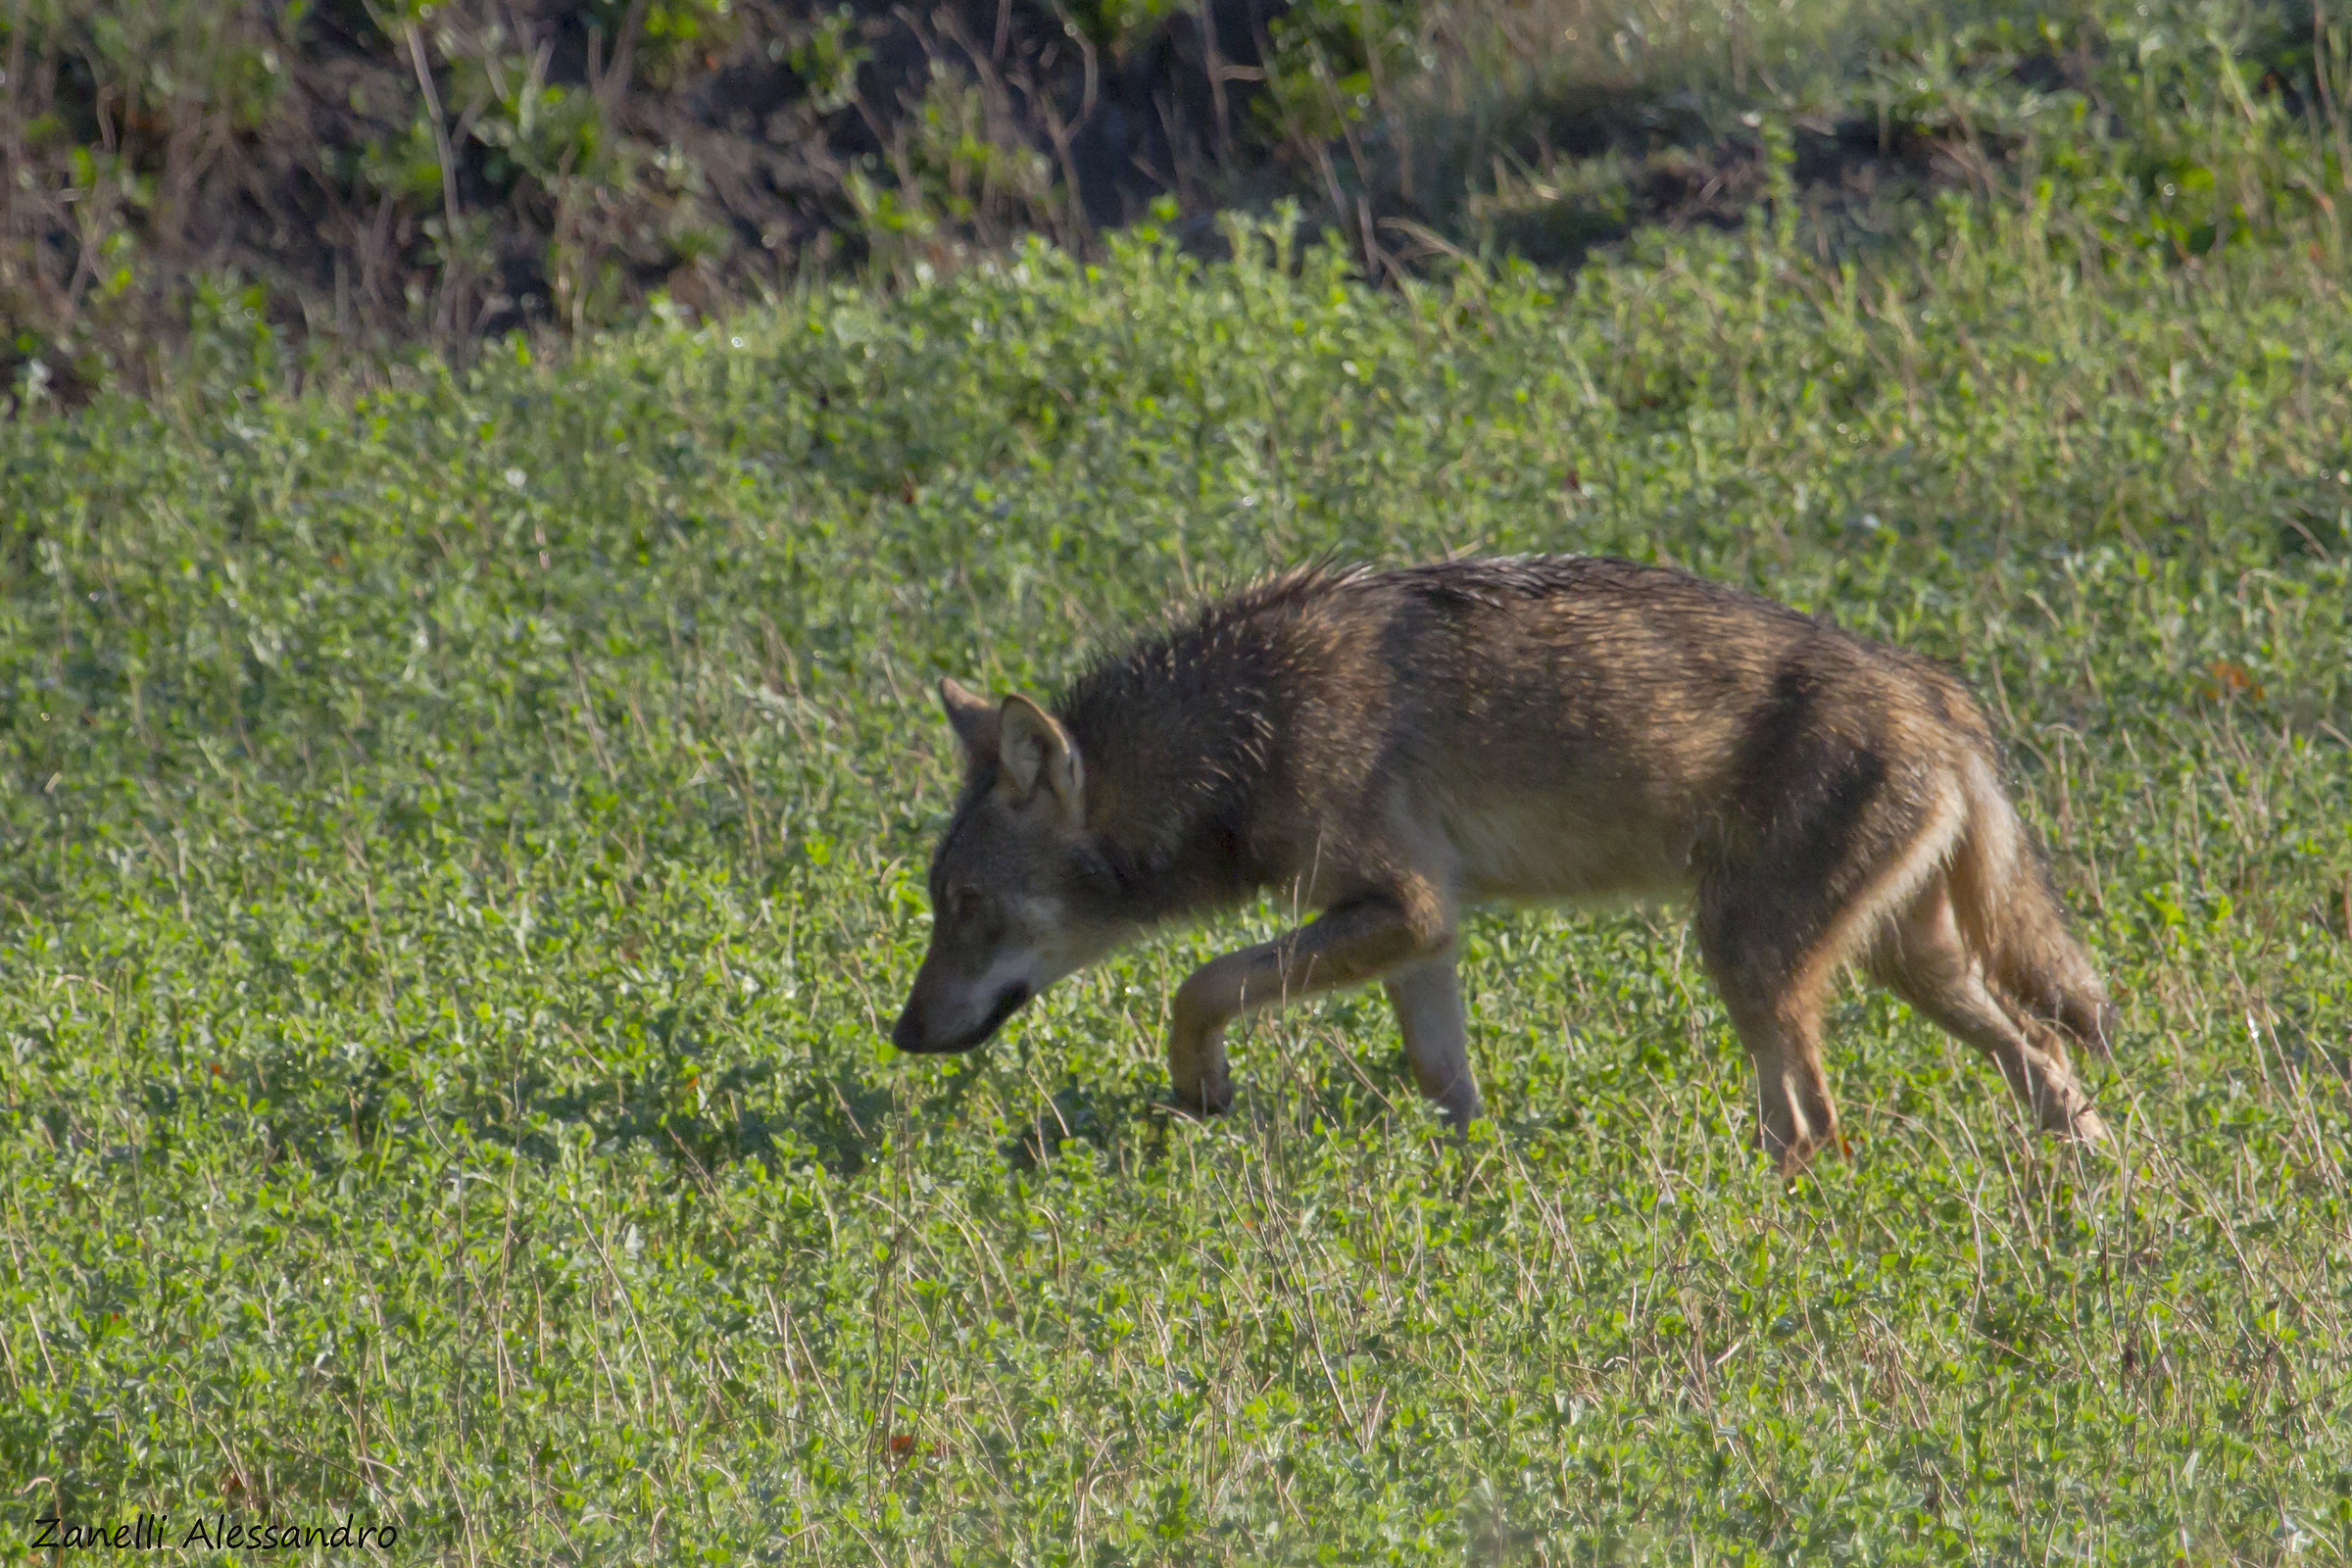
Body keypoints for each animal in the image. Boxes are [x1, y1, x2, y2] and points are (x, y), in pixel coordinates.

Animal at [894, 557, 2117, 1170]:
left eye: (968, 904)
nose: (902, 1033)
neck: (1248, 727)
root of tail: (1939, 693)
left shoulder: (1406, 908)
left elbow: (1194, 984)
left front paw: (1202, 1090)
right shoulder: (1420, 938)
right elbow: (1447, 1085)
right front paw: (1475, 1193)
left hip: (1750, 963)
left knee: (1814, 1122)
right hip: (1904, 967)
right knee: (2050, 1057)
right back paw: (2091, 1179)